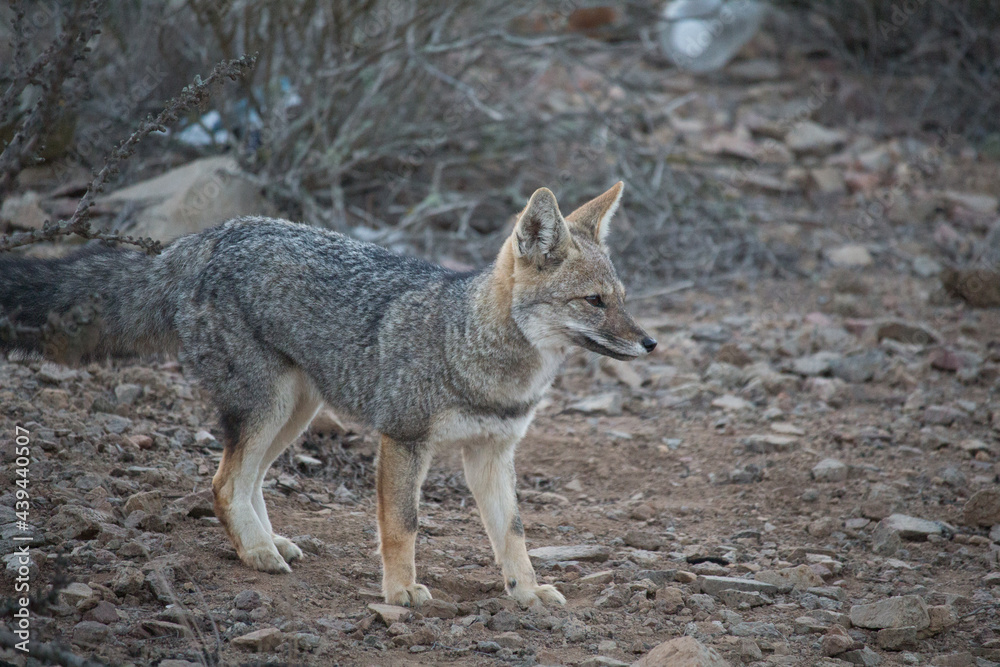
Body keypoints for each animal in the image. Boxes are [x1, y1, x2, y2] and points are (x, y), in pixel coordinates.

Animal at [0, 181, 656, 604]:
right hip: (269, 408)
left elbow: (513, 533)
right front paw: (400, 591)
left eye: (622, 298)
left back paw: (265, 542)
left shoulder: (491, 453)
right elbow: (402, 524)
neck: (472, 346)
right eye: (594, 302)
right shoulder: (403, 439)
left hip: (295, 411)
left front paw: (526, 593)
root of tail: (206, 237)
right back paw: (257, 555)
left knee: (243, 481)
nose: (649, 343)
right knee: (224, 482)